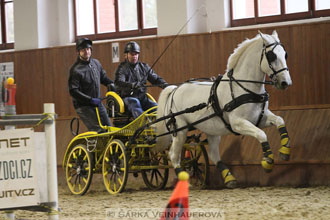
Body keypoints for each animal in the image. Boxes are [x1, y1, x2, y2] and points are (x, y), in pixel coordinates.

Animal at [154, 30, 292, 188]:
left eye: (285, 54)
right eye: (271, 56)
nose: (285, 82)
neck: (244, 88)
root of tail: (174, 90)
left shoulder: (259, 118)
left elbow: (280, 120)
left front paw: (285, 151)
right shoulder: (238, 123)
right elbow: (261, 134)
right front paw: (268, 161)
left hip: (212, 131)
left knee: (214, 155)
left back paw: (229, 178)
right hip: (180, 131)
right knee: (174, 155)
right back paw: (185, 181)